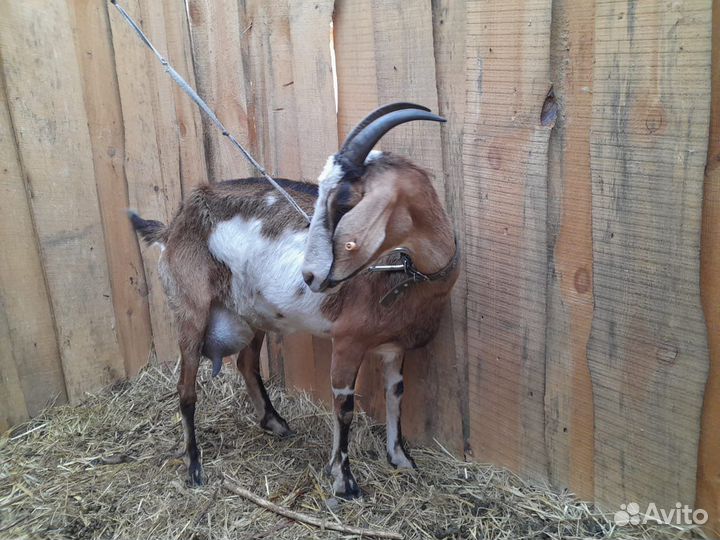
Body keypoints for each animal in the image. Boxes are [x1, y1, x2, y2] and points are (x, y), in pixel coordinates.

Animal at [129, 103, 458, 499]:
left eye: (344, 200)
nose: (311, 276)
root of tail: (175, 222)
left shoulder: (394, 346)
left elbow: (396, 393)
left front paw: (400, 458)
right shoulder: (347, 341)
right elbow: (344, 405)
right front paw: (344, 481)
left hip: (252, 311)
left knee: (246, 363)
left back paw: (275, 423)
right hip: (190, 309)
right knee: (185, 388)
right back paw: (194, 468)